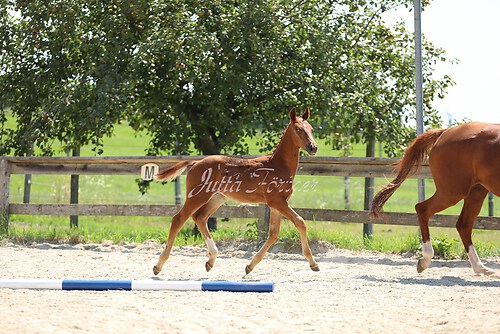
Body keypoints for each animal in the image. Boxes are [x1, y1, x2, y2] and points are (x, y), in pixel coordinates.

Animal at [151, 108, 320, 276]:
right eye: (298, 129)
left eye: (311, 129)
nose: (313, 147)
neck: (278, 165)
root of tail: (195, 163)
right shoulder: (276, 201)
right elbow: (300, 222)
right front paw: (313, 263)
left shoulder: (277, 204)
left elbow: (273, 233)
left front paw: (250, 266)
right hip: (197, 196)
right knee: (178, 219)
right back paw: (159, 265)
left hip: (217, 198)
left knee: (200, 217)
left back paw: (211, 260)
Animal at [370, 122, 498, 276]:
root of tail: (446, 132)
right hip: (452, 192)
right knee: (422, 209)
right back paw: (425, 260)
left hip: (476, 191)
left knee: (463, 225)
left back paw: (482, 268)